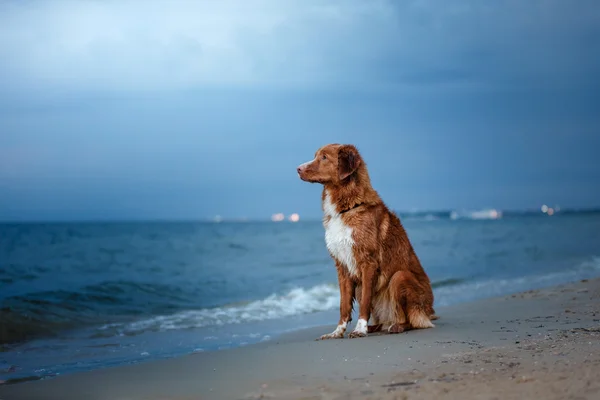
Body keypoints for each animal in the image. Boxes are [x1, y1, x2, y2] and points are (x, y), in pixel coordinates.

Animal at [296, 142, 434, 340]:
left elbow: (365, 302)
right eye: (316, 156)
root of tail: (431, 311)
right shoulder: (342, 265)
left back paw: (397, 326)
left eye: (324, 157)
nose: (298, 169)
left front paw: (360, 329)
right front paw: (337, 332)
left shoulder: (368, 263)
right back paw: (377, 327)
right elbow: (344, 304)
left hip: (400, 278)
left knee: (411, 319)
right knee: (384, 320)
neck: (346, 208)